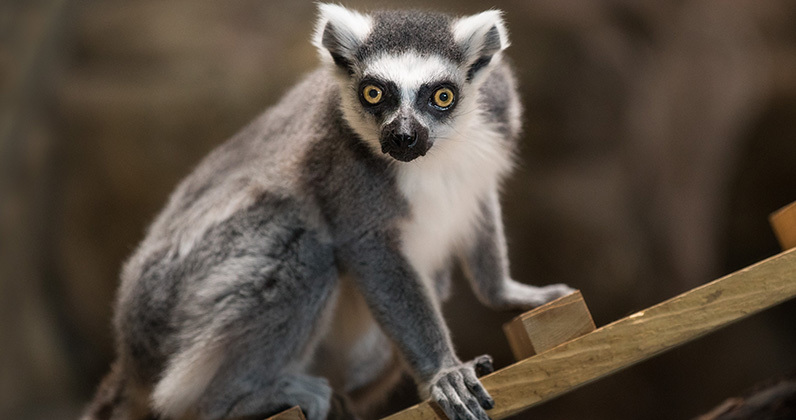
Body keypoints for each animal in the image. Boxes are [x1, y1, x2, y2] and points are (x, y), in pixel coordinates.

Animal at [82, 4, 575, 420]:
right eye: (374, 93)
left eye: (442, 96)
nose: (401, 138)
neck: (439, 154)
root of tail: (132, 354)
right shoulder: (344, 163)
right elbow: (368, 247)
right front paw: (443, 372)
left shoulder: (497, 115)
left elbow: (479, 206)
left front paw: (510, 294)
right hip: (173, 304)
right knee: (304, 247)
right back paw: (242, 399)